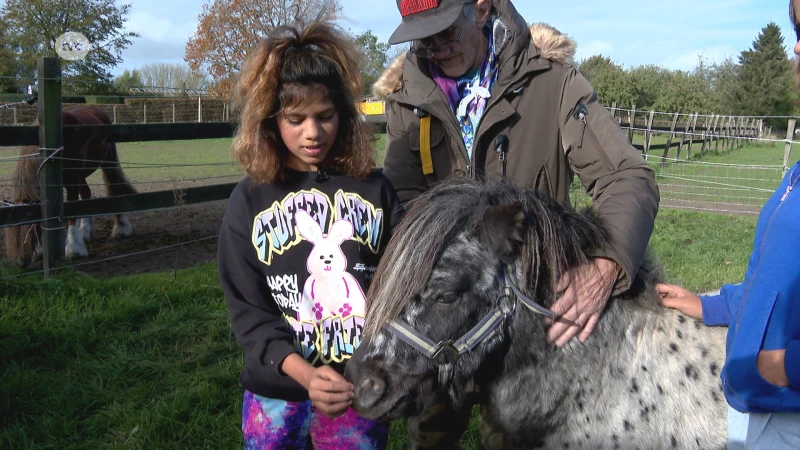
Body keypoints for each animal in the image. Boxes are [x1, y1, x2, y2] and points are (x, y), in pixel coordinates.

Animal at [4, 104, 138, 268]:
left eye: (29, 226)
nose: (20, 262)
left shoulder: (72, 181)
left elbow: (71, 214)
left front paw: (73, 249)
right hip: (82, 174)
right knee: (86, 194)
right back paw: (86, 231)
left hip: (108, 162)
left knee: (113, 189)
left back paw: (121, 228)